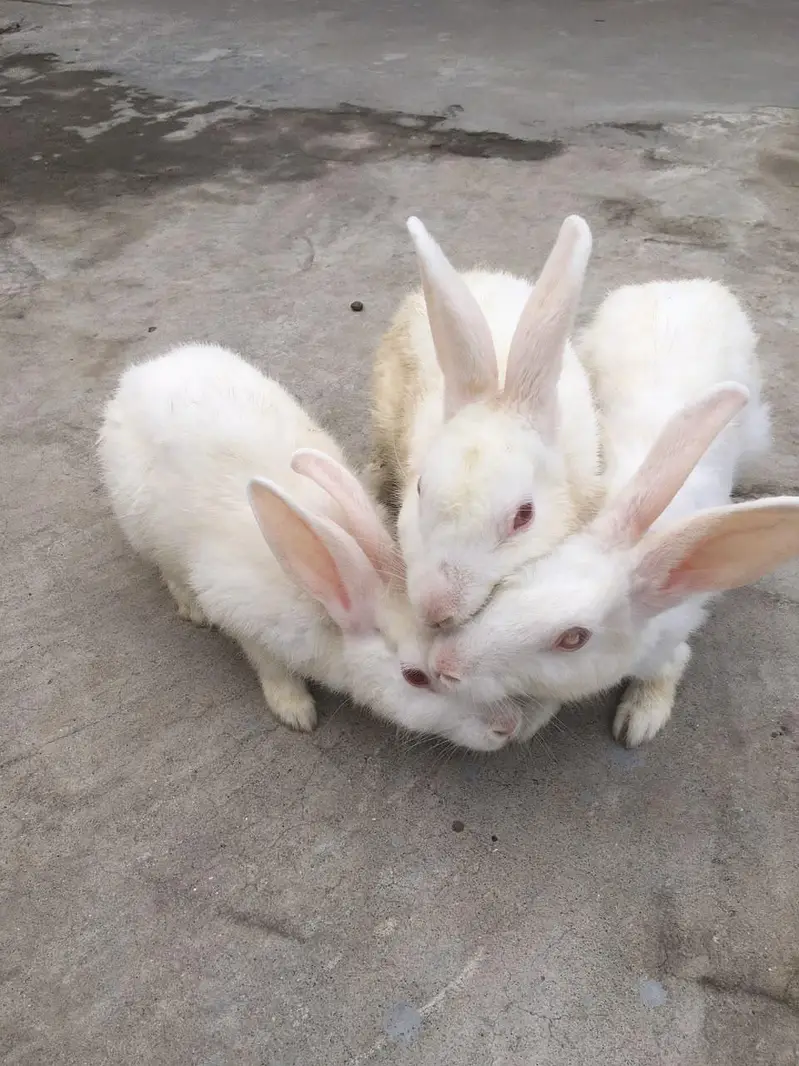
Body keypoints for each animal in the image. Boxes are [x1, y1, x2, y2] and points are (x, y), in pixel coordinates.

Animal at [97, 342, 536, 752]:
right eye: (415, 677)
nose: (508, 726)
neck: (328, 607)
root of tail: (143, 372)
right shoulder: (246, 622)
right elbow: (270, 668)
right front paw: (296, 711)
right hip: (143, 528)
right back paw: (191, 610)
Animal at [428, 280, 799, 748]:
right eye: (513, 582)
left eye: (573, 639)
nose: (444, 664)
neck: (644, 539)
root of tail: (682, 285)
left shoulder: (668, 643)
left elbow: (668, 668)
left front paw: (638, 722)